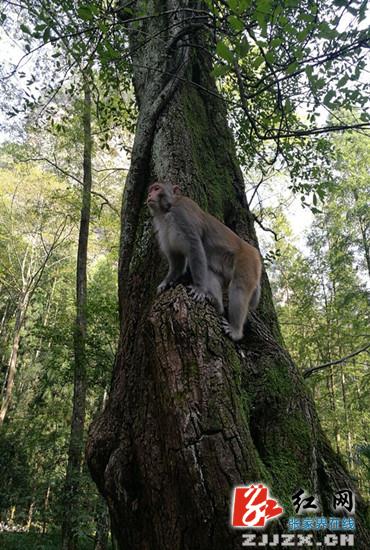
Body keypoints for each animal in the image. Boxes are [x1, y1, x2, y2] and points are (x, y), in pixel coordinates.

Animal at [146, 183, 262, 342]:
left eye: (157, 188)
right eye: (151, 189)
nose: (149, 195)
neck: (167, 210)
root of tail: (254, 252)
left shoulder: (182, 213)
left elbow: (195, 246)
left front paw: (199, 289)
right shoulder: (162, 228)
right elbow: (177, 260)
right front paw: (166, 282)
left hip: (248, 261)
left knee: (239, 287)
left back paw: (236, 331)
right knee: (210, 272)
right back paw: (217, 303)